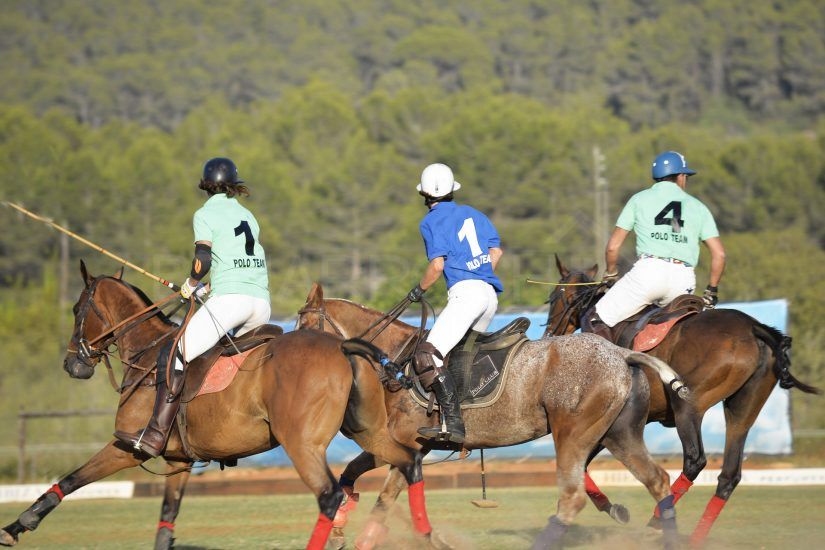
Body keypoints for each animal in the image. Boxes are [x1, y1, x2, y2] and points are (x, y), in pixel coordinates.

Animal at [0, 264, 438, 550]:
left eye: (77, 310)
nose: (72, 364)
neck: (146, 353)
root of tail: (343, 345)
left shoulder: (128, 444)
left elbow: (75, 477)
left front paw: (19, 524)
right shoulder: (178, 460)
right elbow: (166, 522)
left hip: (301, 444)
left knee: (330, 495)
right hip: (368, 430)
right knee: (409, 462)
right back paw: (427, 535)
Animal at [300, 284, 692, 550]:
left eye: (304, 324)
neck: (395, 360)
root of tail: (623, 355)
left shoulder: (410, 444)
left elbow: (386, 494)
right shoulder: (403, 444)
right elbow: (353, 474)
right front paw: (339, 529)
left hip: (573, 434)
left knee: (572, 497)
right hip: (619, 434)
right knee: (657, 481)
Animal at [544, 256, 820, 548]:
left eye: (554, 297)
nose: (550, 333)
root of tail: (754, 328)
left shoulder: (606, 423)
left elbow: (578, 465)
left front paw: (610, 509)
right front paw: (611, 509)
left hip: (687, 405)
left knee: (695, 460)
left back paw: (658, 518)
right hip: (743, 409)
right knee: (729, 474)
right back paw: (691, 537)